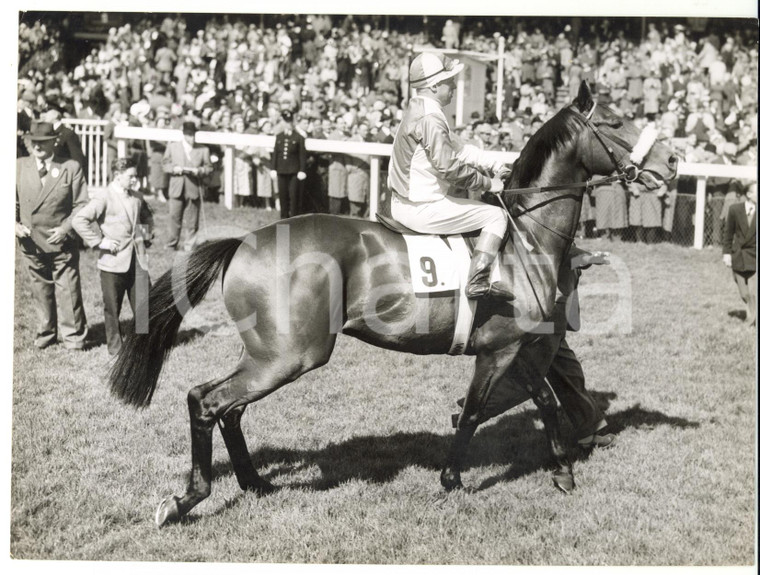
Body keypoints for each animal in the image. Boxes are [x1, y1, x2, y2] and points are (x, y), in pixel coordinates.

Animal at [107, 81, 676, 528]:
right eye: (616, 120)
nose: (670, 161)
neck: (525, 239)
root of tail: (244, 242)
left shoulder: (519, 346)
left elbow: (542, 400)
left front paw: (560, 468)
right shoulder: (499, 350)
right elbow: (481, 410)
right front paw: (454, 478)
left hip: (268, 354)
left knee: (226, 407)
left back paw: (254, 484)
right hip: (290, 355)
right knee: (207, 402)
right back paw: (187, 499)